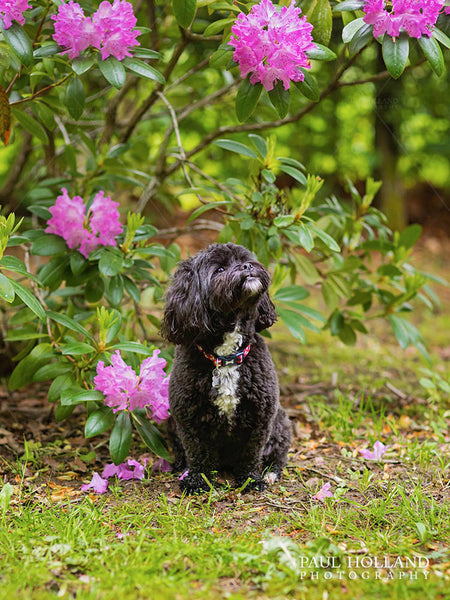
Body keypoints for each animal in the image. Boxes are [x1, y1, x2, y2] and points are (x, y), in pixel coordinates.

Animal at [162, 243, 292, 492]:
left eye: (245, 259)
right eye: (220, 268)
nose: (247, 266)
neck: (227, 358)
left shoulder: (261, 417)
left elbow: (251, 454)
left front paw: (250, 480)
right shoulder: (188, 418)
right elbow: (198, 453)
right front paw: (197, 481)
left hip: (280, 423)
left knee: (277, 456)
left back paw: (270, 473)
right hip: (171, 423)